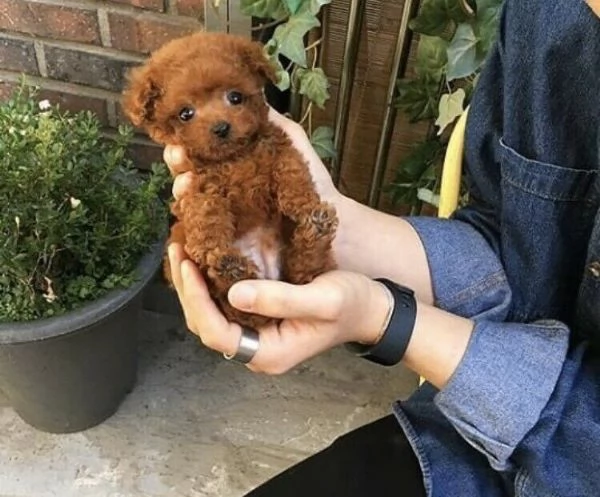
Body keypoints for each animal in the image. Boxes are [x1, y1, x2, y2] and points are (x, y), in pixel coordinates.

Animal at [122, 30, 338, 326]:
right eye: (186, 113)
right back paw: (231, 269)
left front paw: (302, 202)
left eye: (235, 97)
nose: (221, 127)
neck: (235, 157)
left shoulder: (279, 149)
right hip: (181, 243)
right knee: (232, 298)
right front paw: (212, 247)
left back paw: (316, 230)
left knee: (302, 273)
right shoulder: (200, 188)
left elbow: (291, 172)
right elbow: (206, 215)